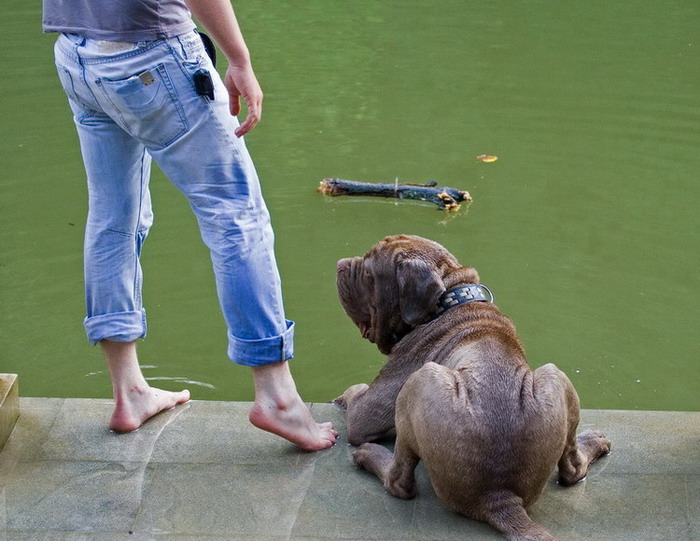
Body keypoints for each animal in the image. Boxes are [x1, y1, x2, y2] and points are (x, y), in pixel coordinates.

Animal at [332, 235, 608, 540]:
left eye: (369, 274)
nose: (340, 264)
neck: (448, 300)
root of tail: (499, 496)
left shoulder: (370, 408)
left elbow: (357, 399)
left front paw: (345, 395)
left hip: (420, 379)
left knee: (400, 481)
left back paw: (369, 455)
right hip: (556, 377)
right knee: (572, 470)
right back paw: (594, 442)